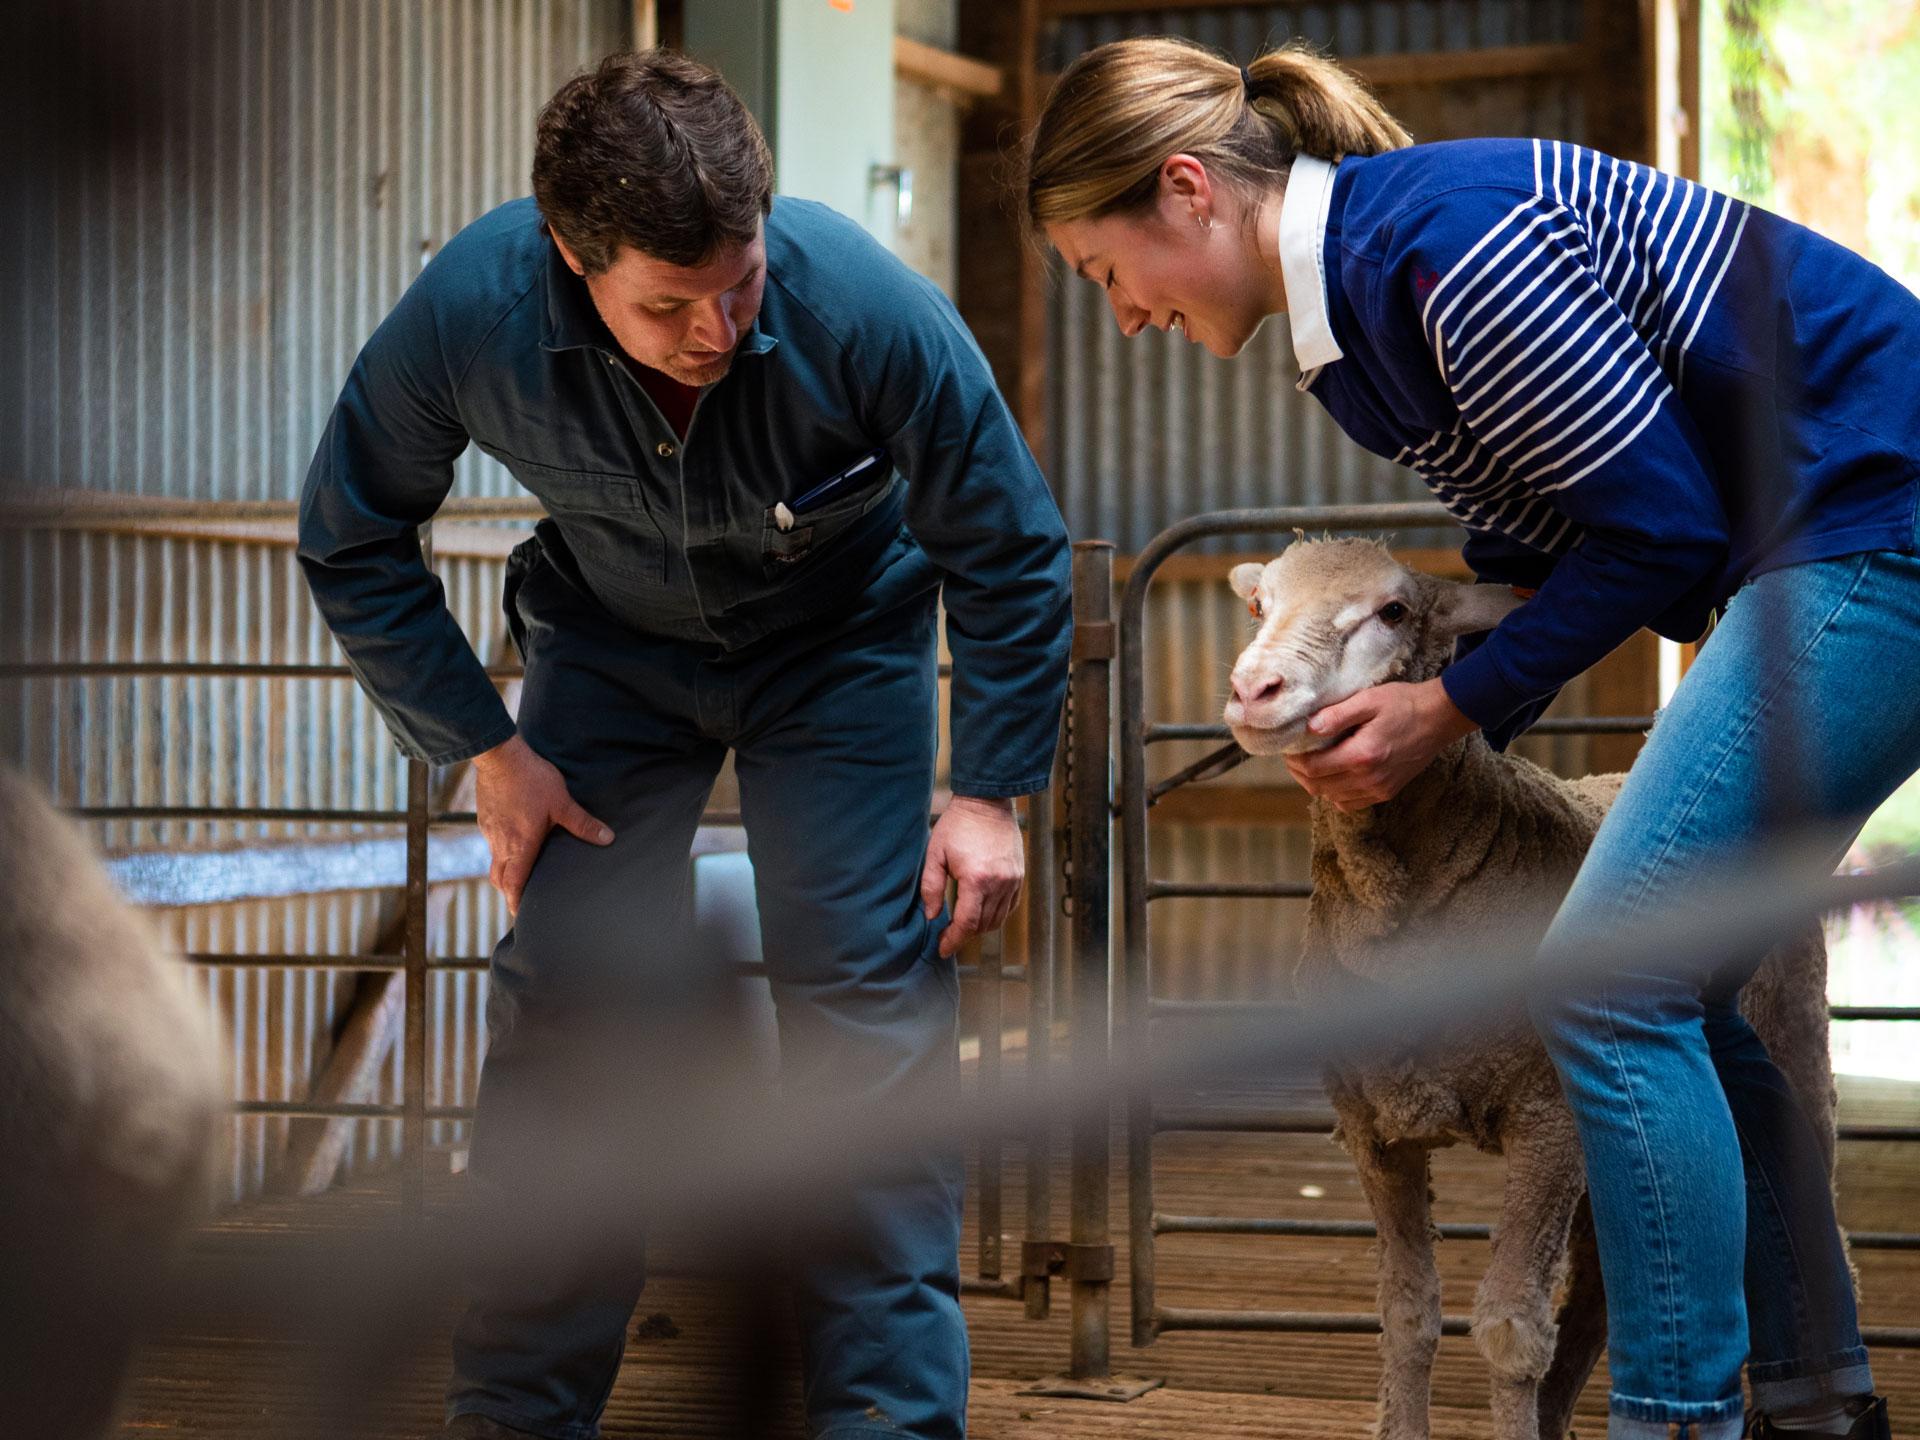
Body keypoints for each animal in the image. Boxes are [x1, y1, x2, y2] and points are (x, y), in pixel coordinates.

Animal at [1221, 541, 1835, 1440]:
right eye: (1259, 605)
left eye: (1394, 612)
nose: (1254, 690)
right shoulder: (1374, 1126)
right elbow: (1408, 1312)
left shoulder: (1550, 1118)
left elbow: (1510, 1328)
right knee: (1602, 1292)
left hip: (1790, 1047)